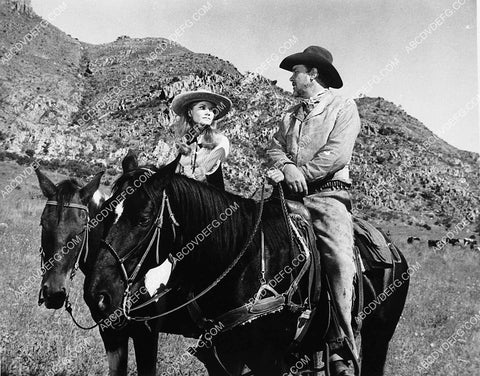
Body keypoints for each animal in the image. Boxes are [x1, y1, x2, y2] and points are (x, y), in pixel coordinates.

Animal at [82, 153, 408, 376]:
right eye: (105, 211)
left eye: (145, 218)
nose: (98, 295)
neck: (242, 264)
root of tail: (393, 249)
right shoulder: (220, 357)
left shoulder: (267, 361)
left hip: (378, 339)